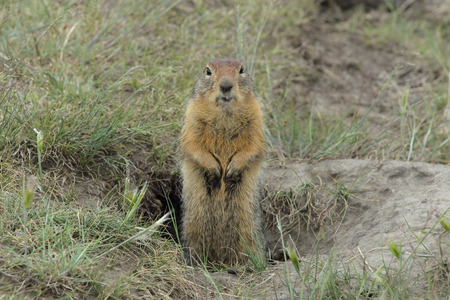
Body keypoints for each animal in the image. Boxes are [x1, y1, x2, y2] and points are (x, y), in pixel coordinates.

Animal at [181, 58, 266, 264]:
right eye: (208, 71)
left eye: (241, 69)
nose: (226, 86)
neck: (225, 114)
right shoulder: (192, 117)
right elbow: (192, 145)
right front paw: (214, 169)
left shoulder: (257, 118)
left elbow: (254, 146)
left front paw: (232, 169)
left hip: (249, 231)